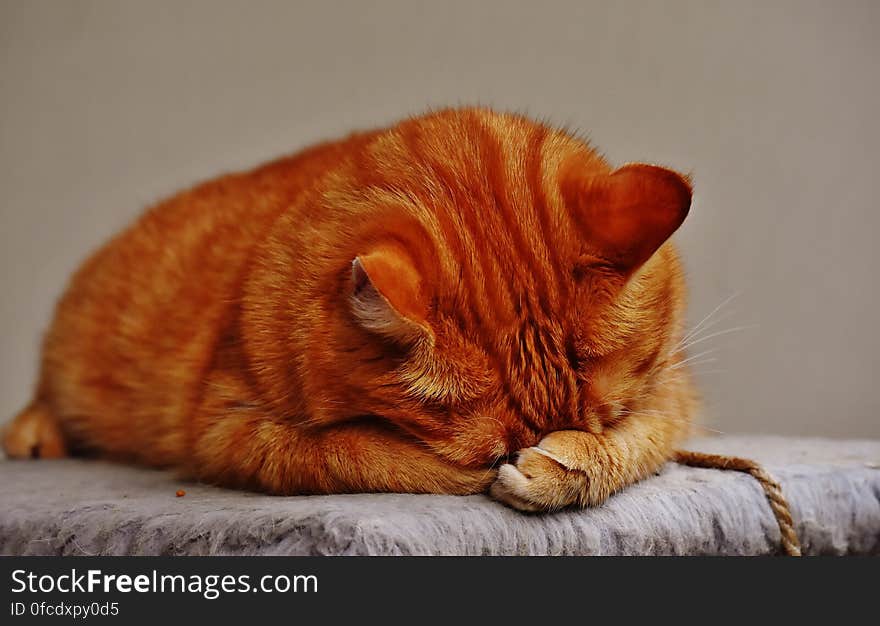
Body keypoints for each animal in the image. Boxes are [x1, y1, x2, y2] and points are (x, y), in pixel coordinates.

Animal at [3, 106, 696, 508]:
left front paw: (566, 464)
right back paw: (36, 437)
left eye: (600, 420)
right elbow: (359, 455)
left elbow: (638, 443)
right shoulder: (229, 429)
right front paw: (479, 472)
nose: (520, 451)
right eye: (491, 448)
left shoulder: (675, 398)